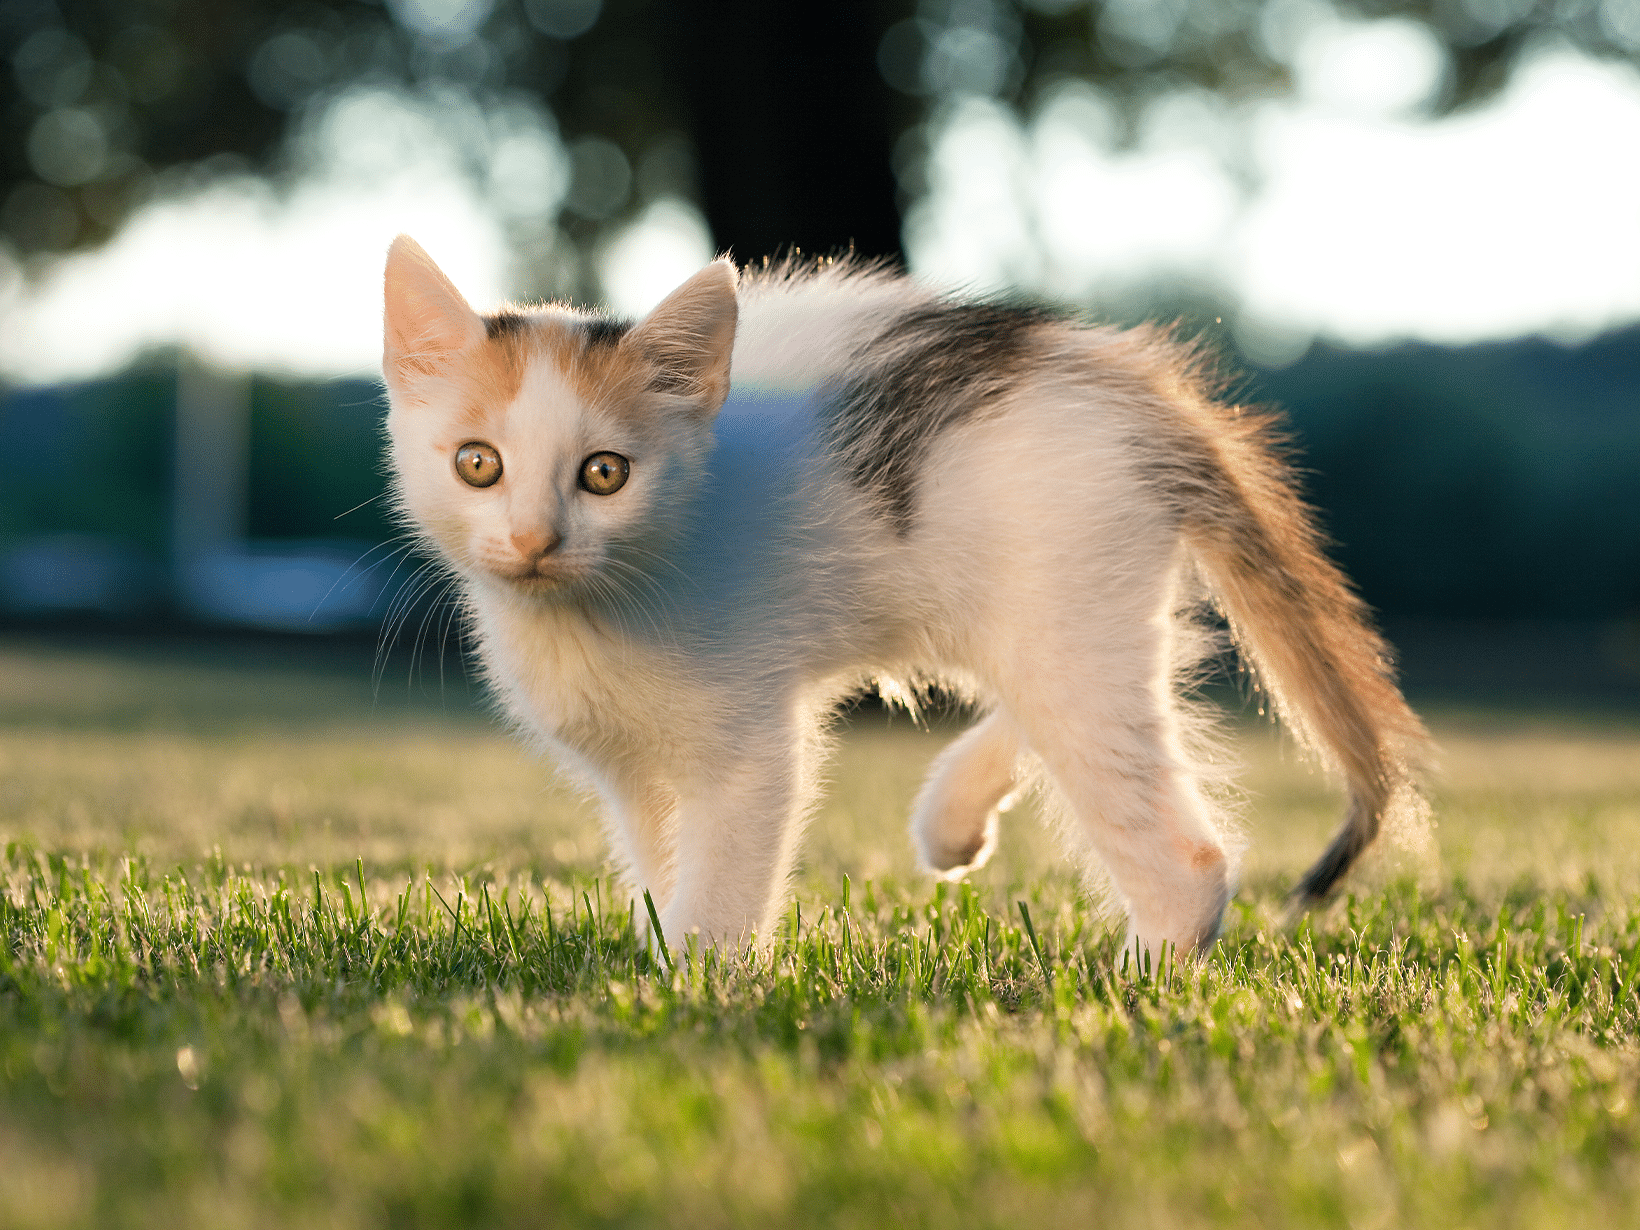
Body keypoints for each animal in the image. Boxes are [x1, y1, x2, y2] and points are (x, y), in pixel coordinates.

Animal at [377, 236, 1430, 957]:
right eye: (478, 464)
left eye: (604, 474)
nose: (532, 541)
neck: (593, 609)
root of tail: (1141, 387)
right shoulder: (631, 774)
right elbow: (663, 863)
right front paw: (662, 955)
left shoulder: (751, 748)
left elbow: (722, 884)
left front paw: (693, 990)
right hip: (1081, 606)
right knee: (1147, 666)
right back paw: (956, 814)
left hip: (1066, 609)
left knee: (1182, 847)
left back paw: (1130, 984)